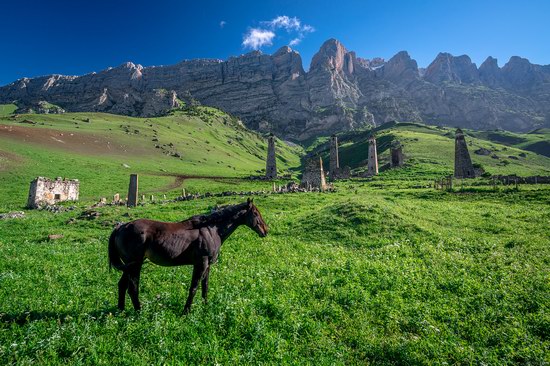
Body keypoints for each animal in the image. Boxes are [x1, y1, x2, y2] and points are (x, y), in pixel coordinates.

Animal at [108, 199, 270, 314]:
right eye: (255, 214)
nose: (265, 230)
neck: (211, 230)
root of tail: (121, 227)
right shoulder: (201, 263)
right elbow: (194, 287)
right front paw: (186, 311)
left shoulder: (208, 265)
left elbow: (205, 286)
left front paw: (205, 306)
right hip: (135, 265)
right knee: (133, 288)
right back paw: (139, 311)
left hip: (128, 266)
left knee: (122, 285)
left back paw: (120, 311)